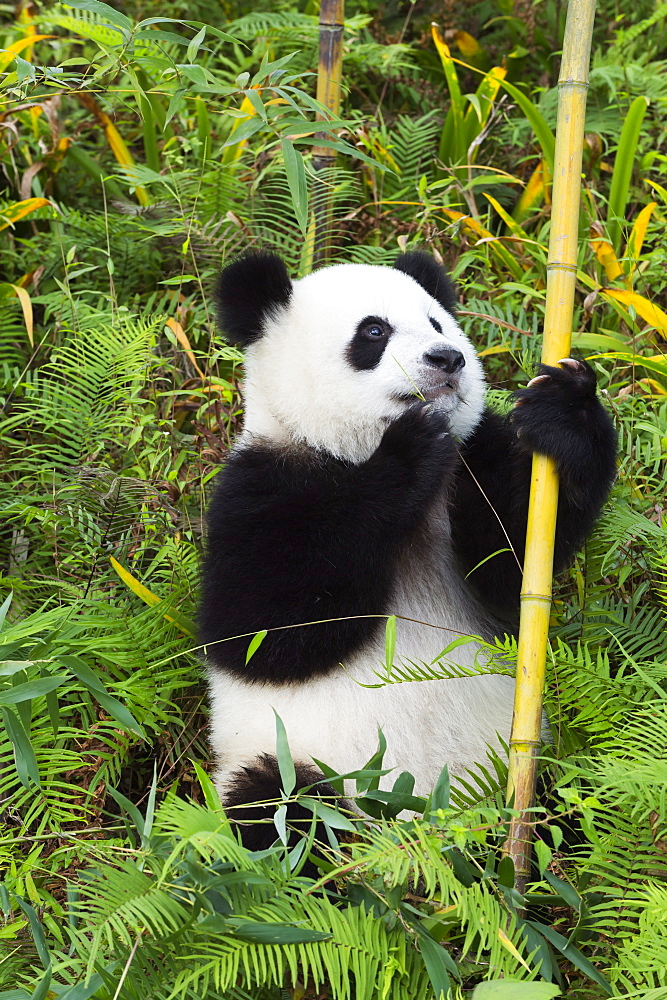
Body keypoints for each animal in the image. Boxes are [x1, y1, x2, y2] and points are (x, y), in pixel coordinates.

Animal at [197, 250, 616, 844]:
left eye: (438, 323)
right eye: (374, 331)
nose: (447, 358)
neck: (349, 450)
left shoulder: (469, 467)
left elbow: (511, 558)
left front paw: (566, 409)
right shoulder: (259, 488)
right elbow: (264, 630)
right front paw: (408, 454)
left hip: (532, 764)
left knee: (582, 799)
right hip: (295, 762)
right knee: (276, 810)